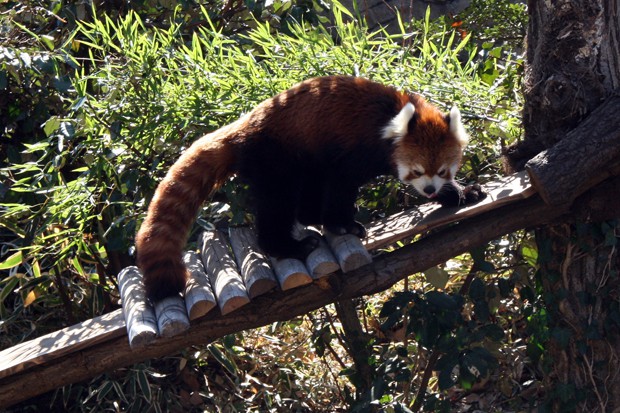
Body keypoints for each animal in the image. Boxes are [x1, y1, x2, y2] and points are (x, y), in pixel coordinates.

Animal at [136, 75, 480, 300]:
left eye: (443, 171)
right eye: (417, 171)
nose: (431, 190)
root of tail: (243, 127)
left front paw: (461, 193)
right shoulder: (354, 151)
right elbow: (341, 184)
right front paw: (343, 225)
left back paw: (312, 218)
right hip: (276, 156)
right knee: (279, 202)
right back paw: (289, 245)